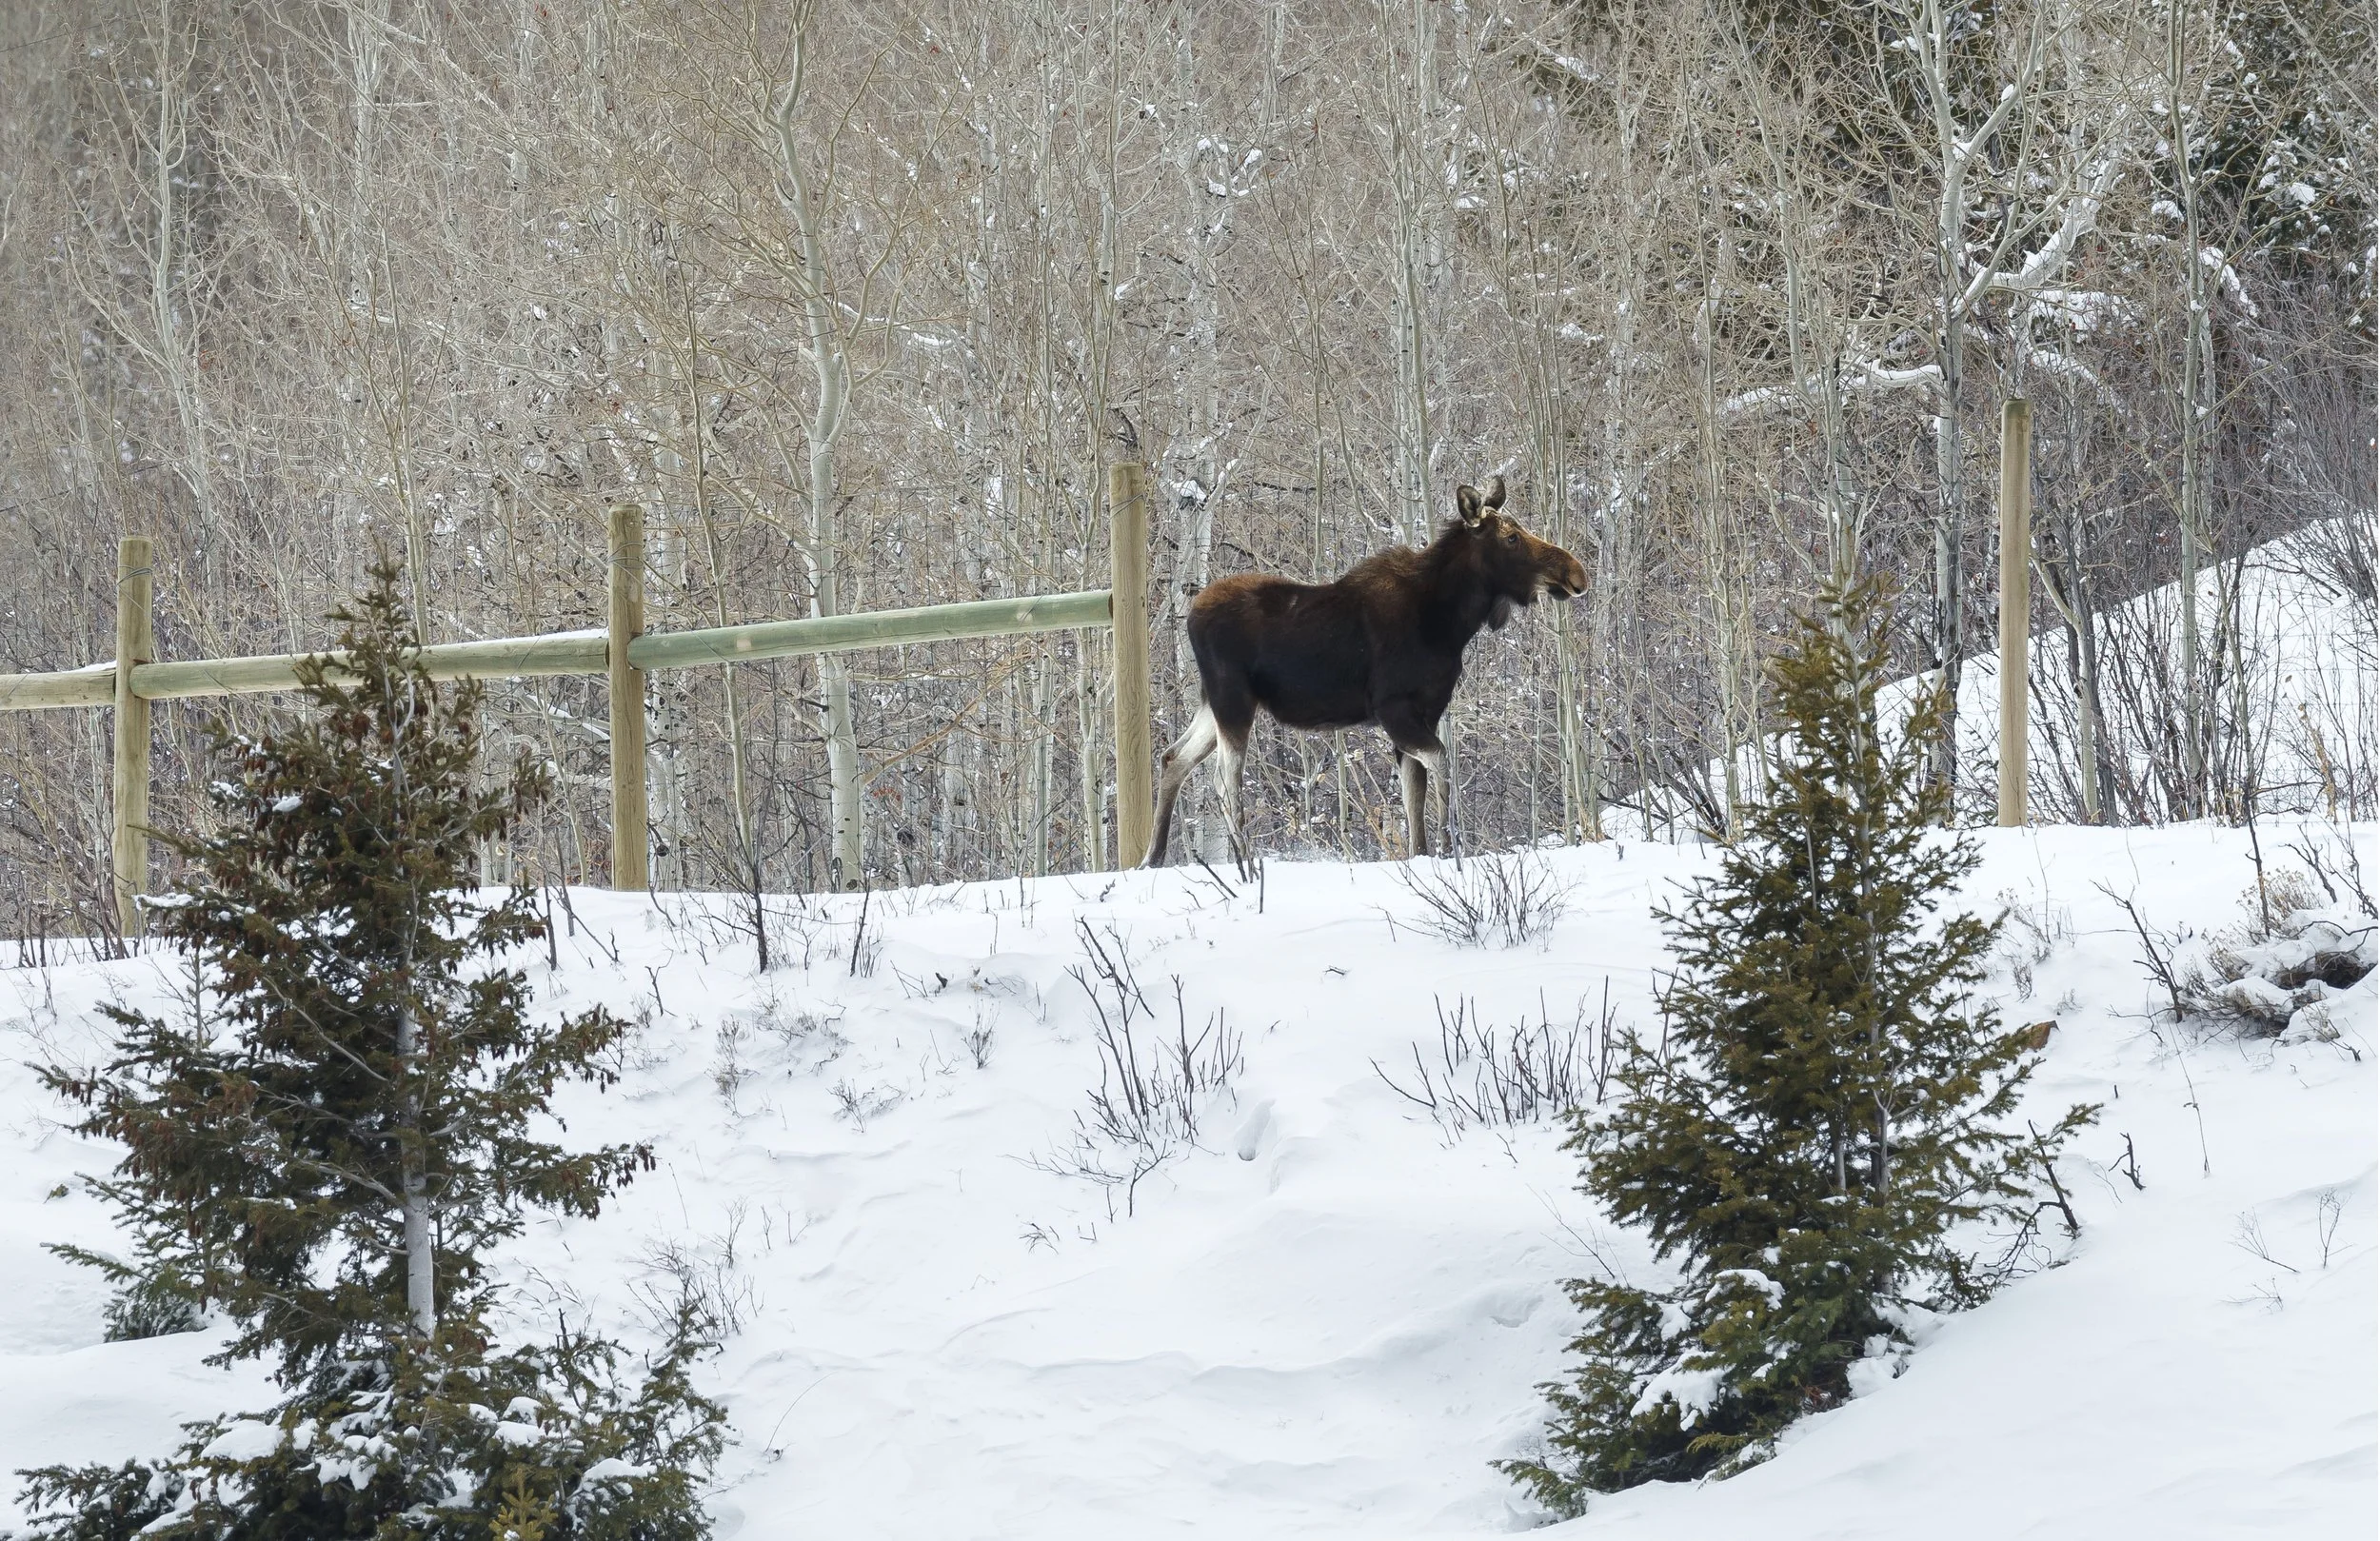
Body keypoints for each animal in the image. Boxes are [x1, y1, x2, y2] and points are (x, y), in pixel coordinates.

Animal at [1143, 476, 1587, 872]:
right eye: (1511, 538)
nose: (1577, 573)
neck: (1450, 622)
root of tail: (1191, 615)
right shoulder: (1395, 709)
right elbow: (1441, 766)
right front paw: (1451, 846)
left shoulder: (1425, 712)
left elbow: (1413, 796)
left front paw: (1427, 854)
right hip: (1232, 699)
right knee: (1223, 780)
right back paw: (1245, 865)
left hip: (1213, 701)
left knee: (1174, 757)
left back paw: (1154, 858)